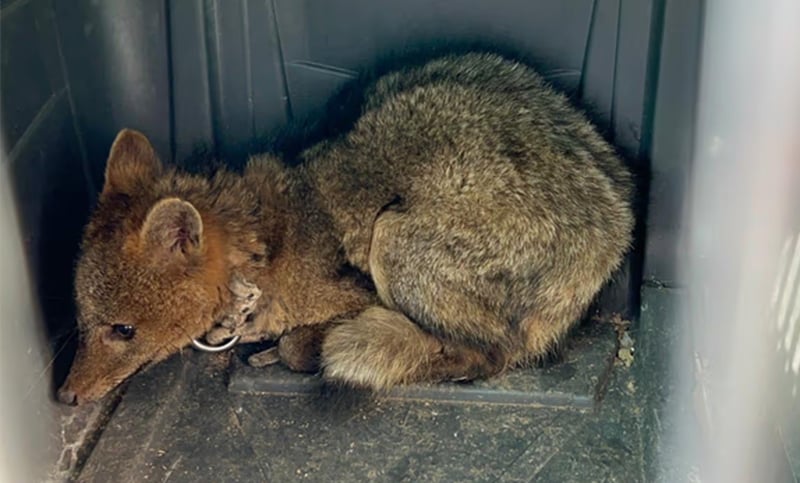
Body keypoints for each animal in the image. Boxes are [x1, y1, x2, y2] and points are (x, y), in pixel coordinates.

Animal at [57, 52, 634, 406]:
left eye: (123, 331)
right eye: (81, 322)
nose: (65, 396)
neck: (266, 252)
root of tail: (617, 229)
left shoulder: (354, 292)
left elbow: (301, 342)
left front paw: (296, 346)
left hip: (393, 241)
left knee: (487, 356)